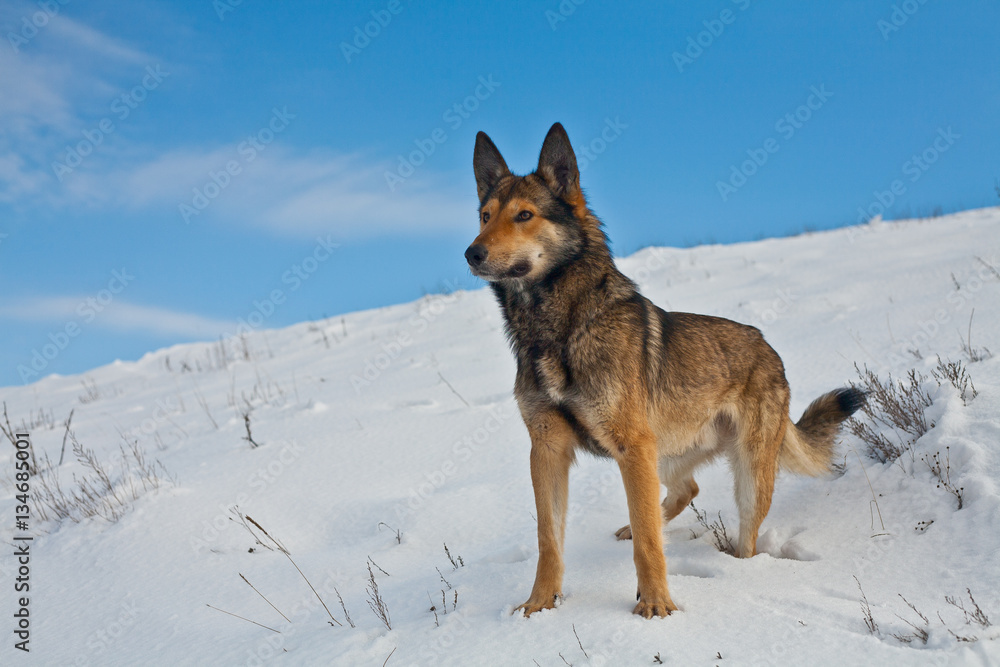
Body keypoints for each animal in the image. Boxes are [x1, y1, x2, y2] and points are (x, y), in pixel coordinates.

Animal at [464, 122, 864, 620]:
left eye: (524, 215)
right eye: (484, 216)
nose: (472, 254)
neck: (557, 330)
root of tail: (769, 349)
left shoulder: (631, 446)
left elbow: (650, 545)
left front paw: (656, 605)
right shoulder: (549, 450)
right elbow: (549, 540)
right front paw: (539, 606)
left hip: (744, 476)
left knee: (738, 534)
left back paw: (735, 569)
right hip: (666, 453)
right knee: (684, 491)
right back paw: (630, 528)